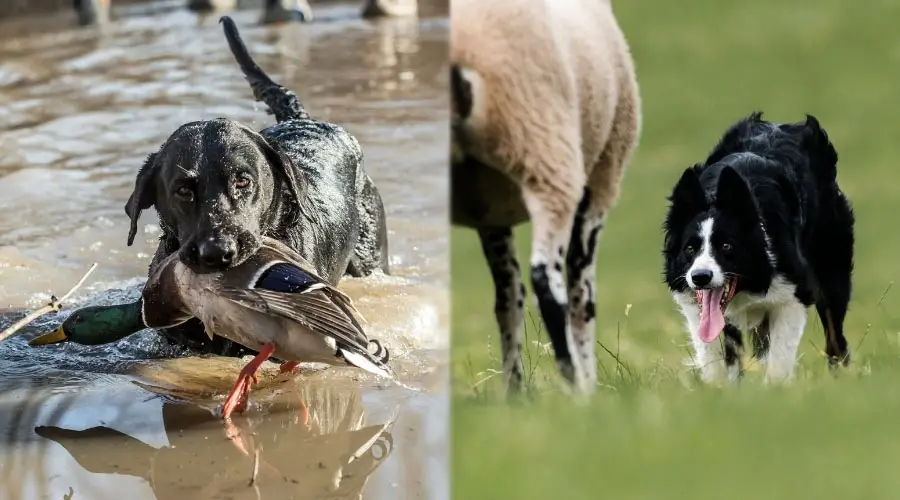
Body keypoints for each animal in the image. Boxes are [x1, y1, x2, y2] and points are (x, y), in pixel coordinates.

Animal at [450, 0, 640, 394]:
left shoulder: (489, 212)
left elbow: (508, 299)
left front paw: (514, 392)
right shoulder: (600, 182)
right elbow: (582, 295)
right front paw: (589, 383)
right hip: (546, 152)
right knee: (547, 284)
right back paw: (575, 385)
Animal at [664, 113, 856, 382]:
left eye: (727, 246)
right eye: (690, 249)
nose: (701, 277)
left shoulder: (793, 294)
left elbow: (778, 364)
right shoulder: (694, 303)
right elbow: (714, 360)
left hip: (832, 270)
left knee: (836, 338)